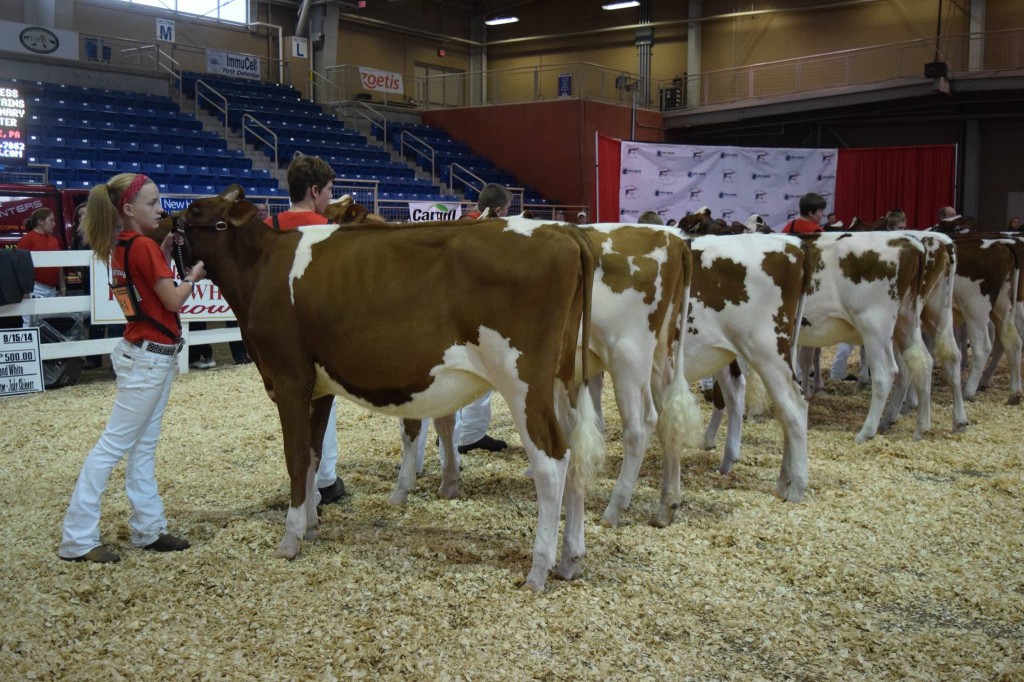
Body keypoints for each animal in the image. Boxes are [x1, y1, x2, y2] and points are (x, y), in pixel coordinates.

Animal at [166, 186, 604, 592]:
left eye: (194, 211)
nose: (163, 230)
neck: (261, 268)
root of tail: (560, 230)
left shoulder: (289, 379)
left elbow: (295, 458)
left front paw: (289, 539)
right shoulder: (318, 387)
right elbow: (312, 456)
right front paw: (311, 526)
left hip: (522, 382)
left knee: (552, 460)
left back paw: (538, 569)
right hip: (562, 382)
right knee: (575, 454)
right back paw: (571, 559)